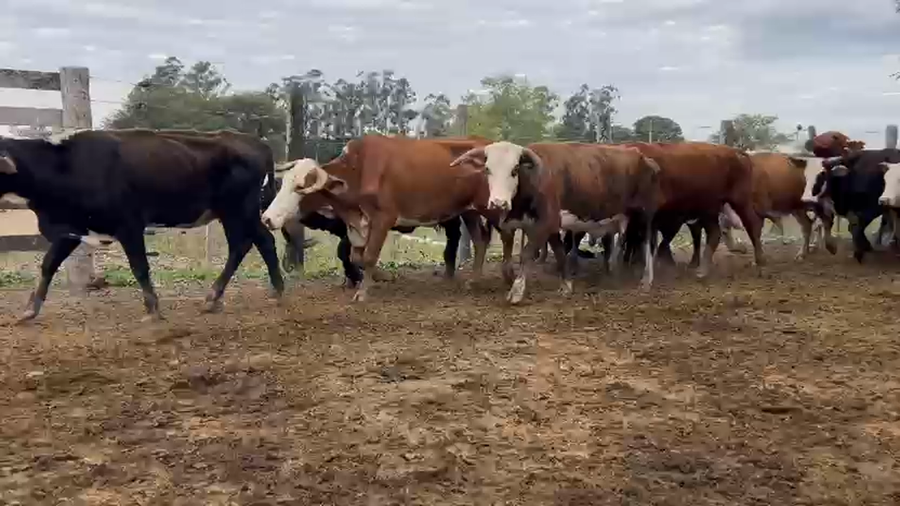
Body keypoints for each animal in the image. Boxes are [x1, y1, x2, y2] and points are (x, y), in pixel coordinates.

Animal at [0, 129, 284, 323]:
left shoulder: (130, 225)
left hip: (238, 210)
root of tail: (255, 142)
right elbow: (48, 265)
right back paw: (268, 290)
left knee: (248, 244)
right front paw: (29, 310)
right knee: (257, 242)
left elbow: (140, 267)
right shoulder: (70, 230)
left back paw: (227, 294)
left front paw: (152, 309)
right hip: (236, 213)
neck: (66, 166)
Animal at [261, 135, 494, 302]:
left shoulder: (383, 219)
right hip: (469, 212)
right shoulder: (355, 225)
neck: (360, 170)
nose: (267, 218)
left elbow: (369, 256)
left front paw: (364, 292)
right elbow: (356, 257)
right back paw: (473, 281)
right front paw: (382, 276)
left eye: (300, 187)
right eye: (284, 183)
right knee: (480, 241)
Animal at [449, 141, 661, 304]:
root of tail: (643, 157)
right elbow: (559, 252)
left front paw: (516, 291)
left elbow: (527, 254)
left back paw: (647, 280)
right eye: (487, 169)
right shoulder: (551, 227)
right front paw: (566, 285)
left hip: (644, 215)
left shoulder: (544, 224)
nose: (498, 202)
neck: (534, 180)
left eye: (515, 169)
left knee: (649, 243)